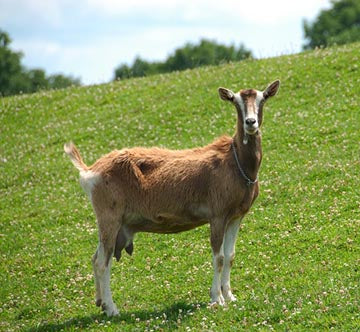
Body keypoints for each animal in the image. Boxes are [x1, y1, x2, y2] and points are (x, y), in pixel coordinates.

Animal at [63, 79, 280, 316]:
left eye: (262, 99)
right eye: (235, 101)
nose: (251, 123)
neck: (235, 162)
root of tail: (89, 171)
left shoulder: (236, 216)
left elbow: (230, 256)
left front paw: (230, 296)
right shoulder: (217, 215)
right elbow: (219, 257)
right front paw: (217, 298)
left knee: (96, 258)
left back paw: (100, 303)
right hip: (108, 216)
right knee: (103, 262)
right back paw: (112, 309)